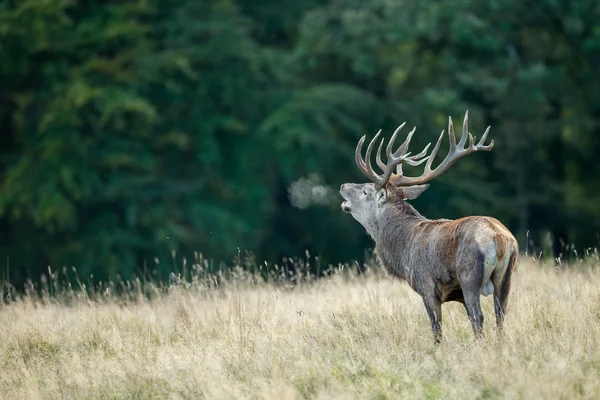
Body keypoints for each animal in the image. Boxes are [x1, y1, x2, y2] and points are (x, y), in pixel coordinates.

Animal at [340, 111, 516, 342]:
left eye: (366, 191)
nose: (343, 185)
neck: (403, 250)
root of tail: (499, 238)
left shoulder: (427, 287)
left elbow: (437, 331)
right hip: (506, 277)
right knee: (500, 316)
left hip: (469, 276)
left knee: (479, 317)